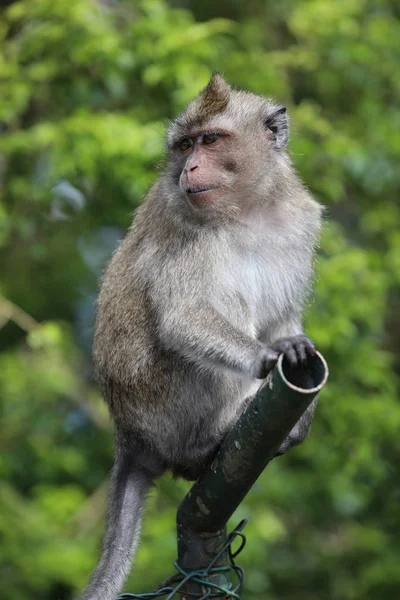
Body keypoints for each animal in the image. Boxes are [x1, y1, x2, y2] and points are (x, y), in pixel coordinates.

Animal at [79, 75, 322, 600]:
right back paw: (205, 444)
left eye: (210, 140)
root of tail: (129, 434)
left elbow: (284, 317)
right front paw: (270, 354)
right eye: (185, 145)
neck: (249, 209)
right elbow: (183, 317)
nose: (189, 167)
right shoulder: (184, 225)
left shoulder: (298, 222)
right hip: (164, 406)